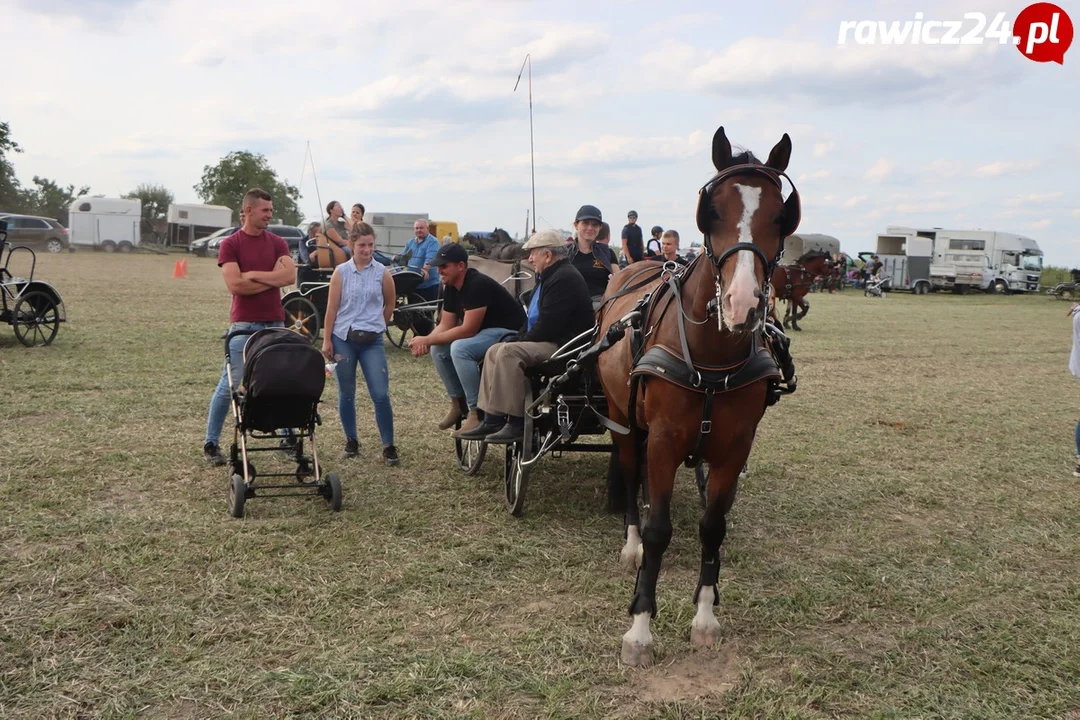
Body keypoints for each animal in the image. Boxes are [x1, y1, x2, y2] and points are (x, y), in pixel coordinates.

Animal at [596, 125, 799, 669]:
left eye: (782, 215)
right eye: (713, 211)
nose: (742, 304)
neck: (711, 357)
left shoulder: (735, 445)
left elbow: (713, 526)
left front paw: (704, 618)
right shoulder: (664, 438)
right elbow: (659, 530)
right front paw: (640, 628)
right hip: (624, 418)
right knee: (631, 474)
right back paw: (630, 544)